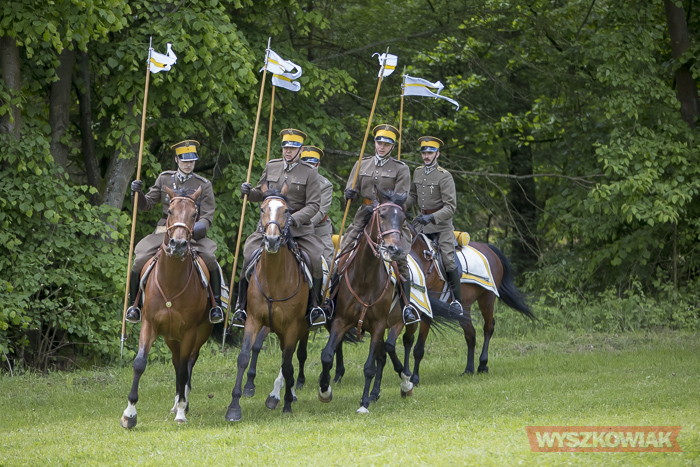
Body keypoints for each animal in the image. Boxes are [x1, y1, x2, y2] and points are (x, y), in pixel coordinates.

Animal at [121, 186, 213, 428]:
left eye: (194, 214)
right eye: (170, 211)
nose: (178, 245)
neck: (172, 281)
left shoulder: (189, 332)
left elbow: (183, 372)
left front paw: (181, 412)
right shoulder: (149, 324)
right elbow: (140, 363)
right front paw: (129, 413)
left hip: (199, 334)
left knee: (186, 365)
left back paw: (183, 403)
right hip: (171, 338)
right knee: (177, 362)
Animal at [225, 182, 310, 421]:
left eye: (286, 211)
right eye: (262, 209)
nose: (271, 241)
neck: (274, 278)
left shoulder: (292, 326)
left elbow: (288, 364)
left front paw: (286, 402)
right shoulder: (254, 320)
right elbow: (244, 356)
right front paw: (234, 406)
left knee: (293, 358)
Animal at [318, 187, 415, 413]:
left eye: (403, 218)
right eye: (382, 215)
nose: (395, 249)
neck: (365, 276)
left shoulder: (378, 326)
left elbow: (369, 366)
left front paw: (363, 403)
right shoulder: (340, 321)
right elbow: (327, 355)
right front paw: (324, 390)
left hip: (398, 323)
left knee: (396, 348)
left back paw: (405, 382)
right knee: (383, 355)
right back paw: (376, 392)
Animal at [403, 230, 534, 383]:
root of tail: (488, 248)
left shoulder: (427, 310)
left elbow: (418, 347)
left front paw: (414, 378)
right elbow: (406, 340)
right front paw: (405, 373)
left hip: (487, 299)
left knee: (488, 327)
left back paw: (482, 365)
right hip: (464, 308)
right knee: (470, 334)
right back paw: (469, 369)